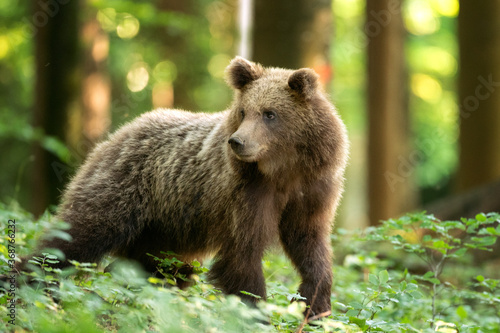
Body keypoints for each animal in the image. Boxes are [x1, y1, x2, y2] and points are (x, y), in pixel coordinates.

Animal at [21, 56, 348, 316]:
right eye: (244, 111)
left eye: (270, 114)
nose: (238, 142)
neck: (283, 170)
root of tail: (118, 133)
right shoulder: (246, 194)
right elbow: (243, 255)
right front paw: (256, 311)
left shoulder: (313, 190)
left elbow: (310, 243)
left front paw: (315, 306)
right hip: (124, 189)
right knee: (76, 236)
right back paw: (30, 281)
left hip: (166, 230)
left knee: (161, 269)